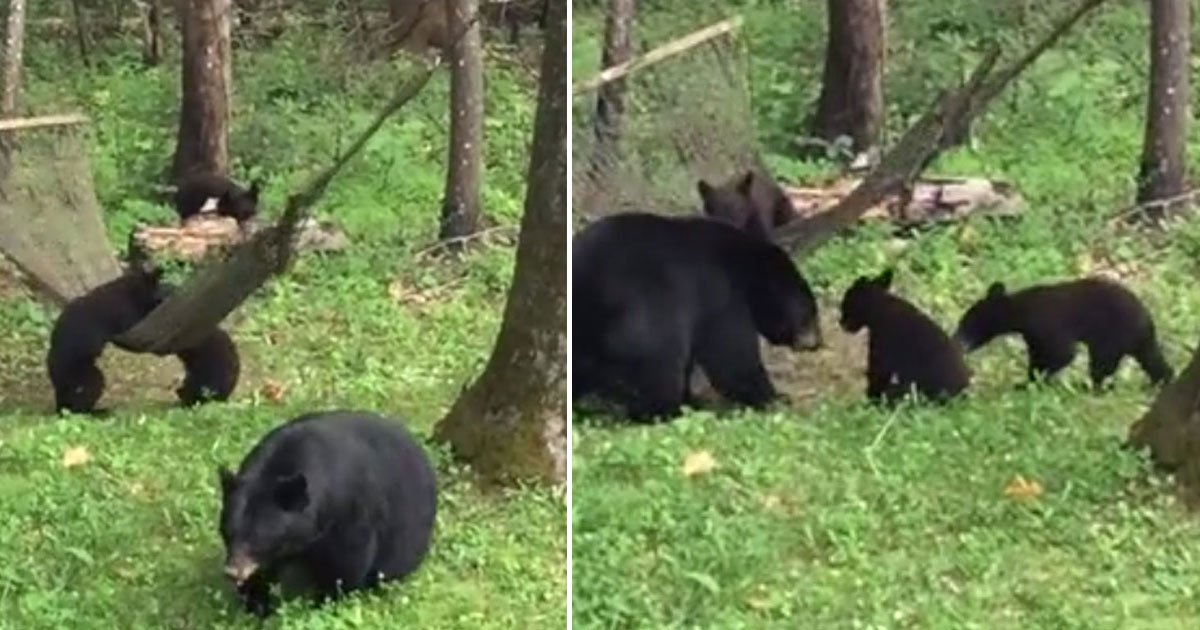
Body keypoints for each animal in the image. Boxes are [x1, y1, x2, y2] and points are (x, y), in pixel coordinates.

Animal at [218, 410, 439, 614]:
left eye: (258, 539)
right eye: (227, 533)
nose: (232, 572)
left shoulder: (348, 512)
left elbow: (346, 563)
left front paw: (326, 602)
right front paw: (255, 604)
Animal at [573, 211, 825, 422]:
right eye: (810, 312)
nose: (817, 343)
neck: (743, 265)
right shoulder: (718, 290)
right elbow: (731, 354)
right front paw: (775, 398)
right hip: (641, 312)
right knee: (659, 362)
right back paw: (661, 410)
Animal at [945, 276, 1171, 386]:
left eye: (966, 324)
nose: (956, 341)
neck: (1021, 312)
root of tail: (1147, 321)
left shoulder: (1047, 325)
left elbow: (1062, 353)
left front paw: (1036, 381)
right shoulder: (1033, 335)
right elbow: (1038, 355)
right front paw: (1028, 380)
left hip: (1112, 336)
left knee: (1101, 364)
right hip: (1136, 342)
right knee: (1152, 360)